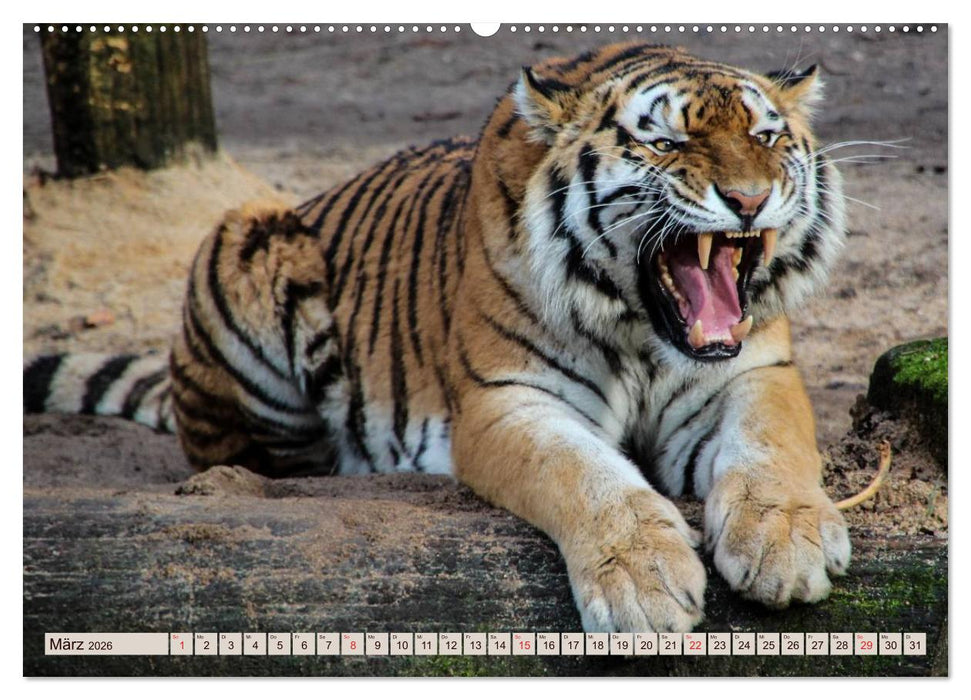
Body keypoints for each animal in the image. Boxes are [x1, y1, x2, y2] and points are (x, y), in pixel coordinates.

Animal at [24, 42, 852, 633]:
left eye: (765, 136)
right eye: (666, 144)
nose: (747, 198)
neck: (643, 331)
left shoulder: (751, 373)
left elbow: (772, 446)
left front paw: (786, 544)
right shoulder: (506, 399)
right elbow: (586, 476)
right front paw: (642, 584)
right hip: (247, 238)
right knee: (252, 457)